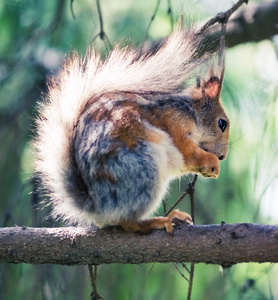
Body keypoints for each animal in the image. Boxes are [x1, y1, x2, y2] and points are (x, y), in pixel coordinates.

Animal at [34, 24, 229, 233]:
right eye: (222, 123)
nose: (222, 156)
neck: (191, 113)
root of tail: (98, 207)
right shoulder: (175, 125)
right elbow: (188, 153)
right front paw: (211, 163)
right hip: (143, 171)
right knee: (130, 223)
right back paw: (163, 220)